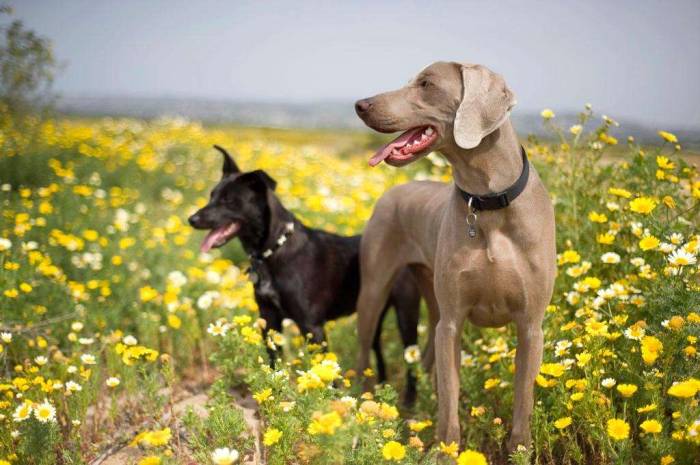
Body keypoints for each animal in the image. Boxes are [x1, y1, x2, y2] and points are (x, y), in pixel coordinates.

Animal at [189, 146, 422, 402]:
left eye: (228, 200)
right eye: (212, 195)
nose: (192, 219)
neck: (273, 250)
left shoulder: (313, 326)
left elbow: (322, 370)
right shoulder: (269, 318)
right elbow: (274, 363)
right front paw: (275, 396)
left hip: (406, 312)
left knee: (411, 360)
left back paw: (408, 402)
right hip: (373, 314)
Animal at [356, 60, 556, 450]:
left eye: (426, 84)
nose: (361, 104)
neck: (488, 202)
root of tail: (394, 191)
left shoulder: (531, 325)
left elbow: (523, 401)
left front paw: (520, 450)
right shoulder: (452, 322)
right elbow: (449, 402)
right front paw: (446, 451)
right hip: (375, 290)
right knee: (362, 356)